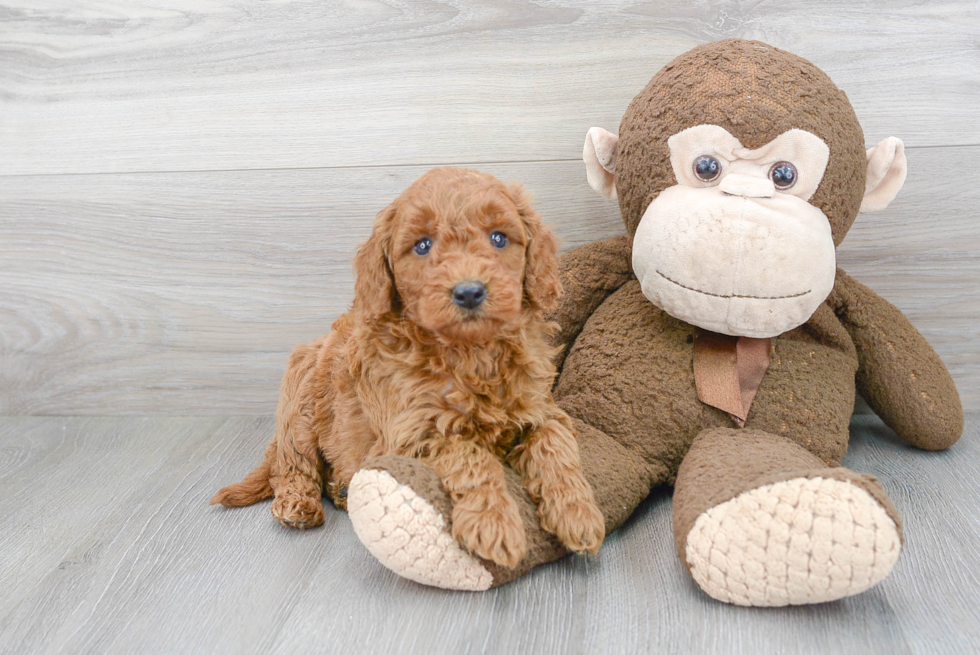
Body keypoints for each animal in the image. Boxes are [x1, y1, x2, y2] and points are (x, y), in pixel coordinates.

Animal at [211, 168, 600, 568]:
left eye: (498, 238)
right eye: (423, 245)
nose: (469, 292)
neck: (469, 352)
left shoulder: (541, 408)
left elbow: (554, 444)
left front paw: (579, 514)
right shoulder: (412, 435)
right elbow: (470, 455)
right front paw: (494, 524)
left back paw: (341, 489)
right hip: (299, 403)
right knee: (290, 464)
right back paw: (297, 504)